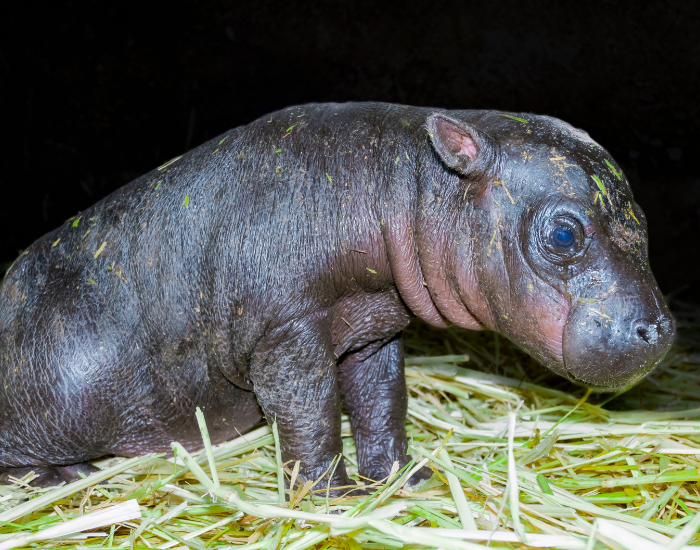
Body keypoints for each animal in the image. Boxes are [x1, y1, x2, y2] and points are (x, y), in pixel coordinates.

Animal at [0, 103, 674, 488]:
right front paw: (331, 496)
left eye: (642, 216)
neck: (407, 180)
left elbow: (382, 401)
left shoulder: (371, 327)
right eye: (563, 233)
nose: (660, 329)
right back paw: (61, 477)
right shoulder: (286, 332)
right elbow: (311, 411)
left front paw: (405, 480)